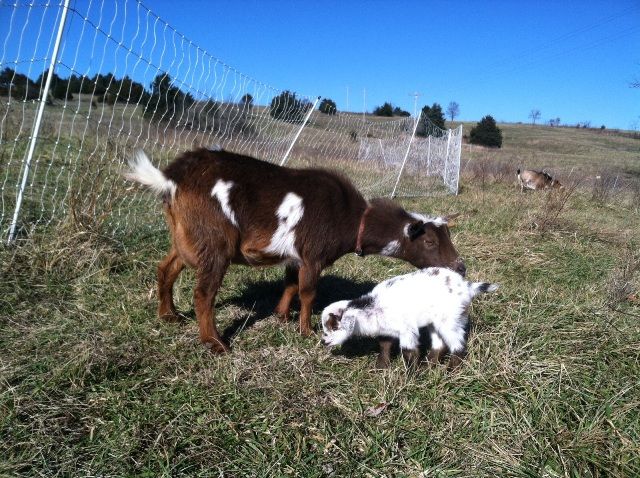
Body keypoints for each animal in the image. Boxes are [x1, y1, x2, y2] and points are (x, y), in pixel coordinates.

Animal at [126, 147, 466, 353]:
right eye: (430, 242)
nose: (460, 266)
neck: (350, 217)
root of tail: (171, 177)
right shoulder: (312, 254)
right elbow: (308, 292)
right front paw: (306, 332)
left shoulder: (294, 256)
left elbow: (290, 285)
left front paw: (281, 316)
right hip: (214, 242)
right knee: (203, 293)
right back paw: (215, 343)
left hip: (185, 237)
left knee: (166, 268)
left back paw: (168, 315)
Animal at [321, 267, 498, 369]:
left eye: (333, 327)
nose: (323, 341)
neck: (373, 307)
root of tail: (467, 287)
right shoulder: (386, 330)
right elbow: (384, 345)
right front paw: (381, 367)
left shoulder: (406, 330)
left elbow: (409, 351)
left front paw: (410, 376)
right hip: (436, 322)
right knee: (440, 344)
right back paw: (428, 366)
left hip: (450, 320)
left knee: (458, 344)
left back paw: (451, 370)